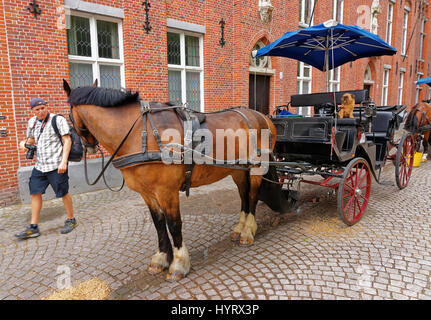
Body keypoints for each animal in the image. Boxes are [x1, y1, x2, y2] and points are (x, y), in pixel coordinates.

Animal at [62, 80, 282, 280]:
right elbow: (159, 223)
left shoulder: (166, 191)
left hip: (256, 167)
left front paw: (178, 264)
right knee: (244, 195)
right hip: (237, 169)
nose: (86, 147)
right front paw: (161, 258)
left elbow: (174, 223)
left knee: (252, 196)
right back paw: (239, 229)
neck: (140, 133)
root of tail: (263, 117)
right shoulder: (147, 193)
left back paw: (247, 232)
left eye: (69, 118)